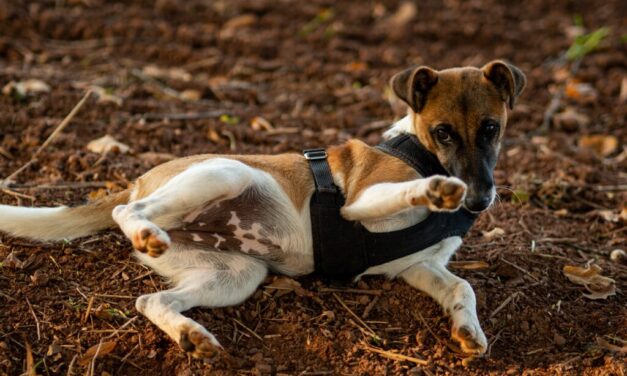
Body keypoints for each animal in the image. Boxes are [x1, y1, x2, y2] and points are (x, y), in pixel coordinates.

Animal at [0, 61, 524, 358]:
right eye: (442, 133)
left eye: (492, 128)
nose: (478, 199)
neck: (416, 148)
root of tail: (136, 182)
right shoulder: (360, 205)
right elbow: (409, 190)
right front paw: (437, 187)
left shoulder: (418, 265)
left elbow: (462, 288)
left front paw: (469, 331)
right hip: (226, 174)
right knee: (127, 215)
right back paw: (144, 230)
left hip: (235, 276)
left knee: (151, 301)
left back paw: (191, 336)